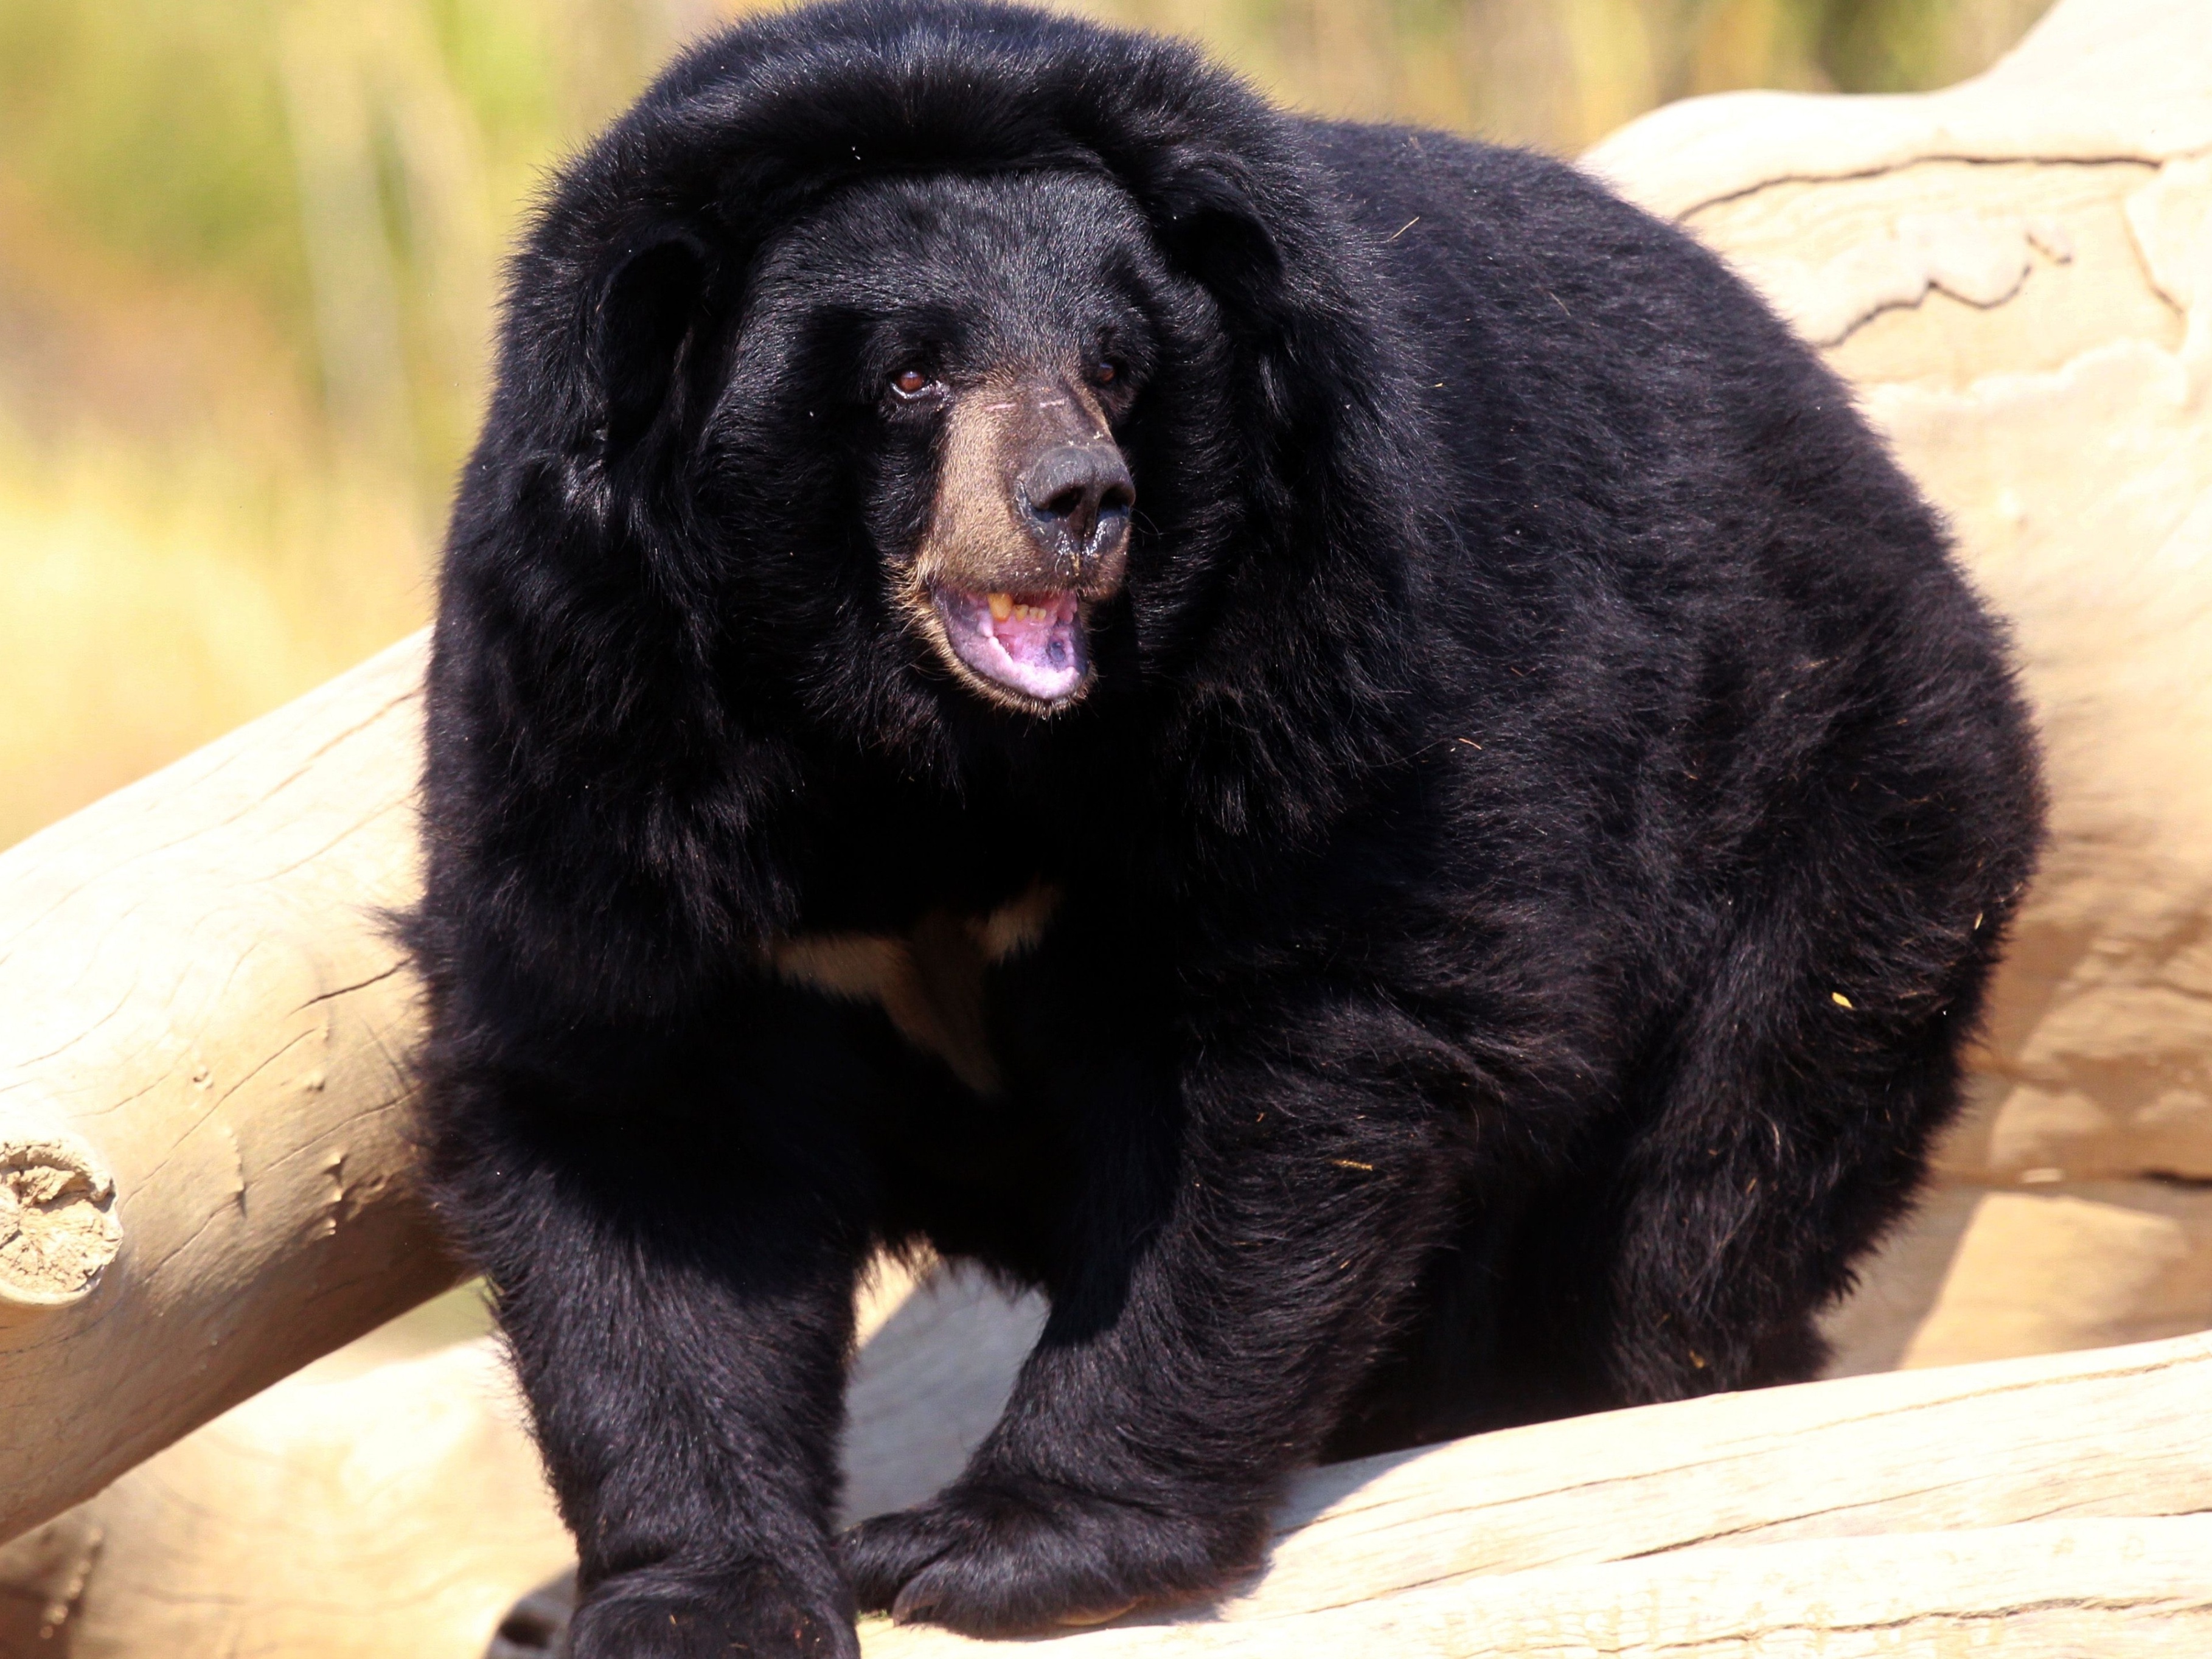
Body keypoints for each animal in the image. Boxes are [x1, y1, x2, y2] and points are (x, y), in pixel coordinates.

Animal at [405, 2, 2045, 1655]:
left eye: (1114, 364)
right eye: (911, 377)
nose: (1078, 500)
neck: (920, 753)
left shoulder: (1315, 643)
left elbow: (1294, 1059)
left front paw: (990, 1546)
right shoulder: (606, 731)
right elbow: (645, 1125)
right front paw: (696, 1600)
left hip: (1831, 814)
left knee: (1699, 1186)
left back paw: (1572, 1380)